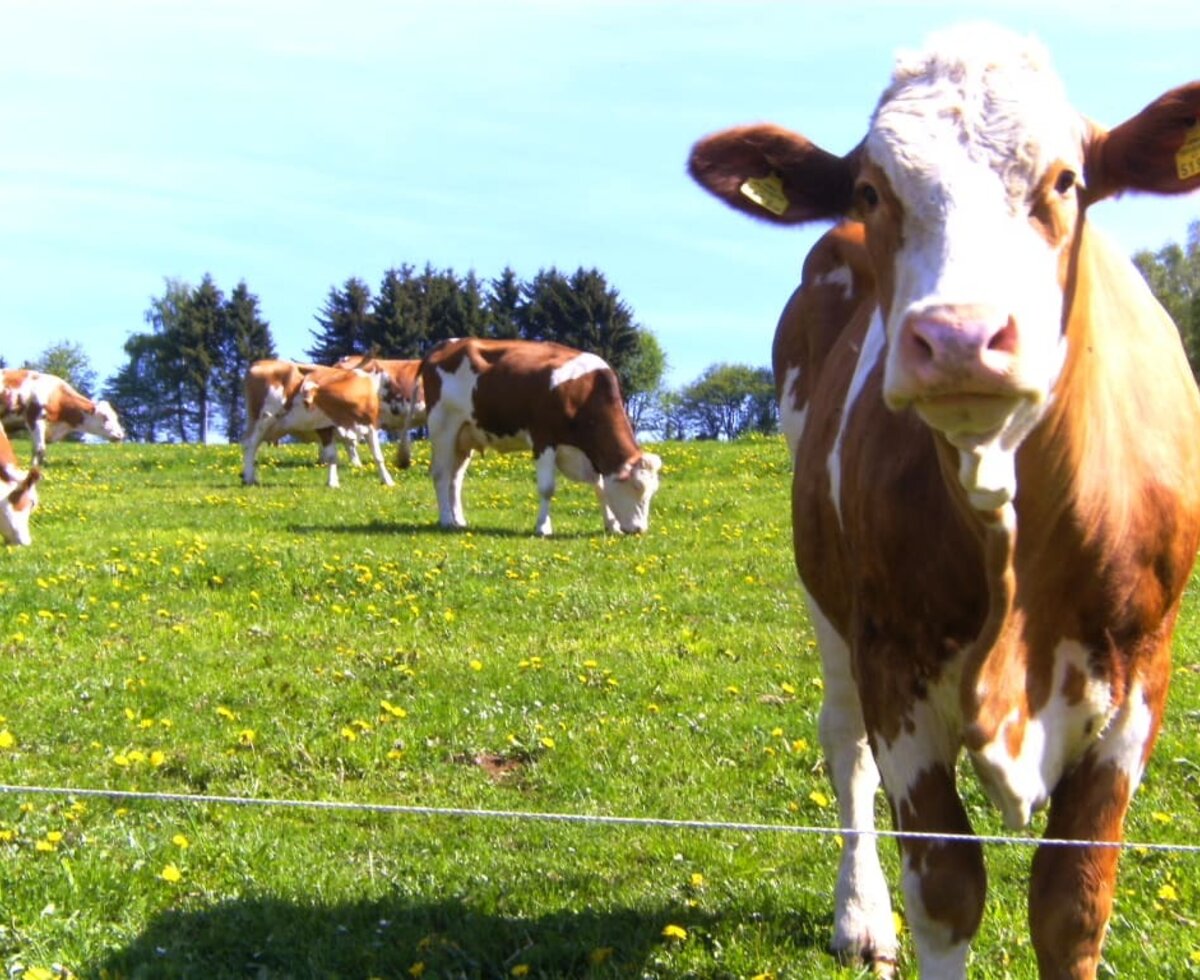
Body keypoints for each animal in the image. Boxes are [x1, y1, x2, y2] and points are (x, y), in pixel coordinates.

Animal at [241, 357, 396, 487]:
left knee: (254, 446)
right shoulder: (324, 427)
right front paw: (333, 482)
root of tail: (259, 363)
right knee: (250, 444)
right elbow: (332, 456)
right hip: (262, 418)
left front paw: (387, 481)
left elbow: (377, 456)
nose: (288, 405)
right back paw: (249, 478)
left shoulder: (370, 426)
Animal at [408, 335, 662, 534]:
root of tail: (443, 345)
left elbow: (600, 487)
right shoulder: (544, 439)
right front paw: (543, 527)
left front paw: (611, 525)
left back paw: (459, 520)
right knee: (441, 474)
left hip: (465, 435)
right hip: (443, 426)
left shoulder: (586, 453)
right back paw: (446, 520)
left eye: (652, 491)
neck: (584, 391)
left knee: (456, 477)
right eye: (637, 487)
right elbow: (547, 488)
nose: (640, 529)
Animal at [686, 22, 1200, 978]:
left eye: (1065, 180)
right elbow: (947, 891)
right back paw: (860, 915)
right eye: (872, 187)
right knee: (842, 744)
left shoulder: (1141, 675)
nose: (959, 336)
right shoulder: (896, 662)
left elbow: (1072, 906)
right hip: (828, 602)